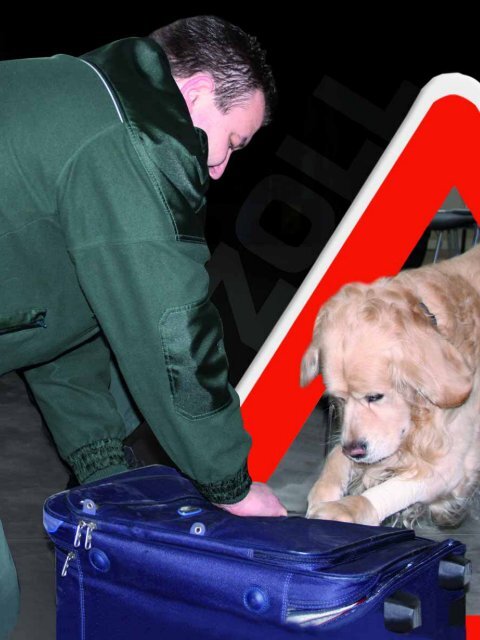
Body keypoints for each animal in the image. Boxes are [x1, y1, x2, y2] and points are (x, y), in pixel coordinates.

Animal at [300, 244, 480, 524]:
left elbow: (392, 488)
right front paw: (324, 491)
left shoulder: (452, 464)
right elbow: (335, 456)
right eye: (339, 400)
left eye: (375, 396)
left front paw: (347, 508)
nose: (355, 451)